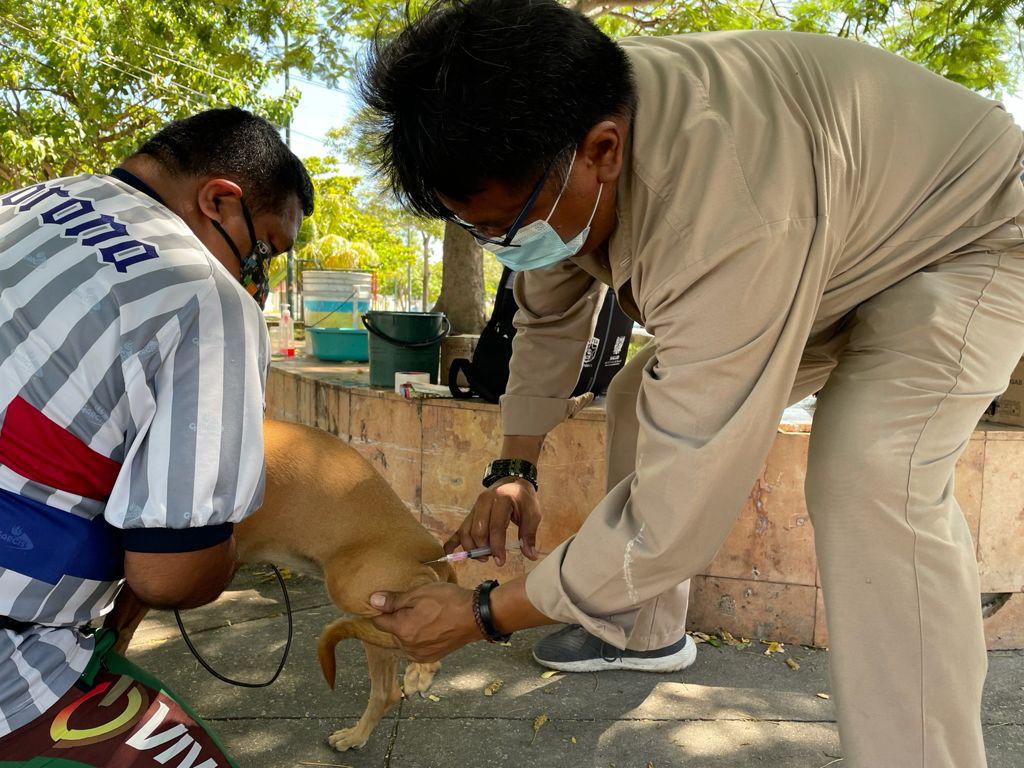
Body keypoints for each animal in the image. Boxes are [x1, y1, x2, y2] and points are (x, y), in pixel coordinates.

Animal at [107, 418, 456, 752]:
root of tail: (433, 552)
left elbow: (116, 636)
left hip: (351, 587)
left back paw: (421, 668)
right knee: (387, 689)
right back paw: (358, 733)